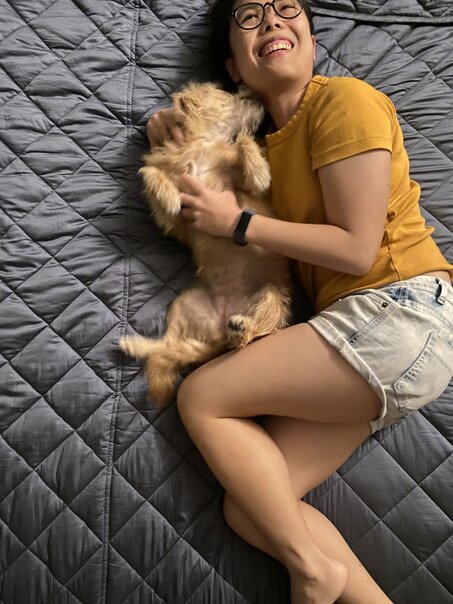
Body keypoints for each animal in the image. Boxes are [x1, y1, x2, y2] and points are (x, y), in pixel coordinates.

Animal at [119, 82, 291, 406]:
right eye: (229, 95)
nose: (254, 93)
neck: (202, 146)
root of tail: (218, 337)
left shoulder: (251, 188)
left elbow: (248, 155)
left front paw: (250, 147)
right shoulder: (172, 219)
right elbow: (152, 175)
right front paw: (167, 193)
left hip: (272, 299)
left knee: (250, 335)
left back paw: (242, 328)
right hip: (183, 305)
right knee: (168, 345)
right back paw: (133, 344)